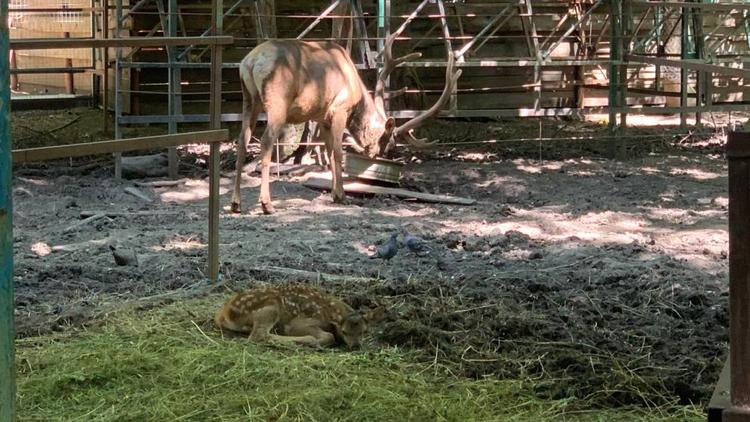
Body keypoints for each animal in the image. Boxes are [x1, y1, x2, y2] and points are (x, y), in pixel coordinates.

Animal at [232, 29, 462, 214]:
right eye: (390, 145)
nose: (383, 156)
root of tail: (250, 62)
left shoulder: (322, 117)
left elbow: (327, 151)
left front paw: (334, 192)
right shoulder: (339, 109)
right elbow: (337, 152)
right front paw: (341, 195)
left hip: (248, 99)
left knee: (242, 140)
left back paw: (236, 204)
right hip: (277, 101)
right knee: (266, 141)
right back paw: (267, 204)